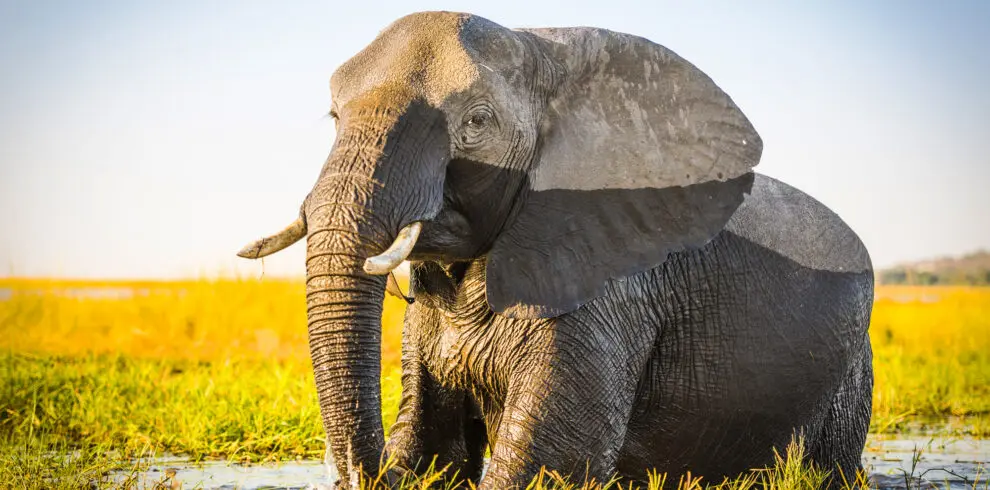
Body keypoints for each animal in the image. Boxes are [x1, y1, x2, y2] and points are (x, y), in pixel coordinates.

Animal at [237, 11, 874, 489]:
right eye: (333, 116)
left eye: (477, 121)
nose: (353, 471)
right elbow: (430, 444)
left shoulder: (611, 286)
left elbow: (551, 457)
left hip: (847, 384)